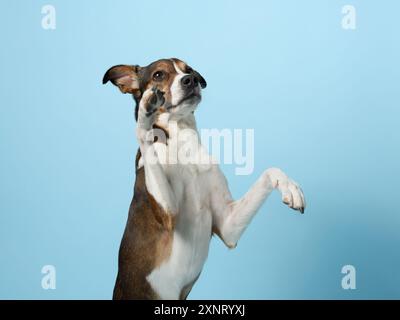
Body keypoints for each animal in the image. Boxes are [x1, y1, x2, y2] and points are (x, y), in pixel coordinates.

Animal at [103, 57, 306, 300]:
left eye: (188, 69)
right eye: (159, 74)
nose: (189, 80)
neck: (183, 141)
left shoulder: (228, 226)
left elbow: (270, 172)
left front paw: (289, 186)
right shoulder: (168, 212)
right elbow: (145, 135)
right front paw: (145, 113)